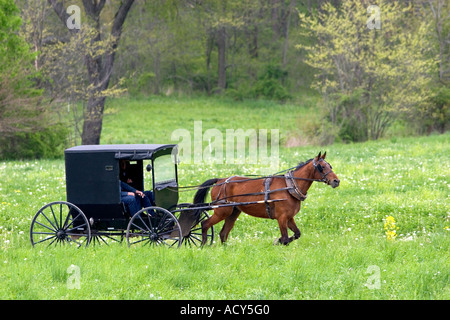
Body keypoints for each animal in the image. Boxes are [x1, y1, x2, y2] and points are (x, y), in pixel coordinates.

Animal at [192, 152, 340, 245]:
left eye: (330, 166)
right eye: (321, 167)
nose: (336, 181)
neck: (289, 186)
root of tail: (220, 180)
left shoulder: (289, 217)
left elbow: (297, 234)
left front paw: (277, 241)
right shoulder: (282, 218)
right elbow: (285, 239)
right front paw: (278, 241)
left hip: (233, 212)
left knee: (223, 233)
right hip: (222, 211)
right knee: (205, 224)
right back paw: (203, 245)